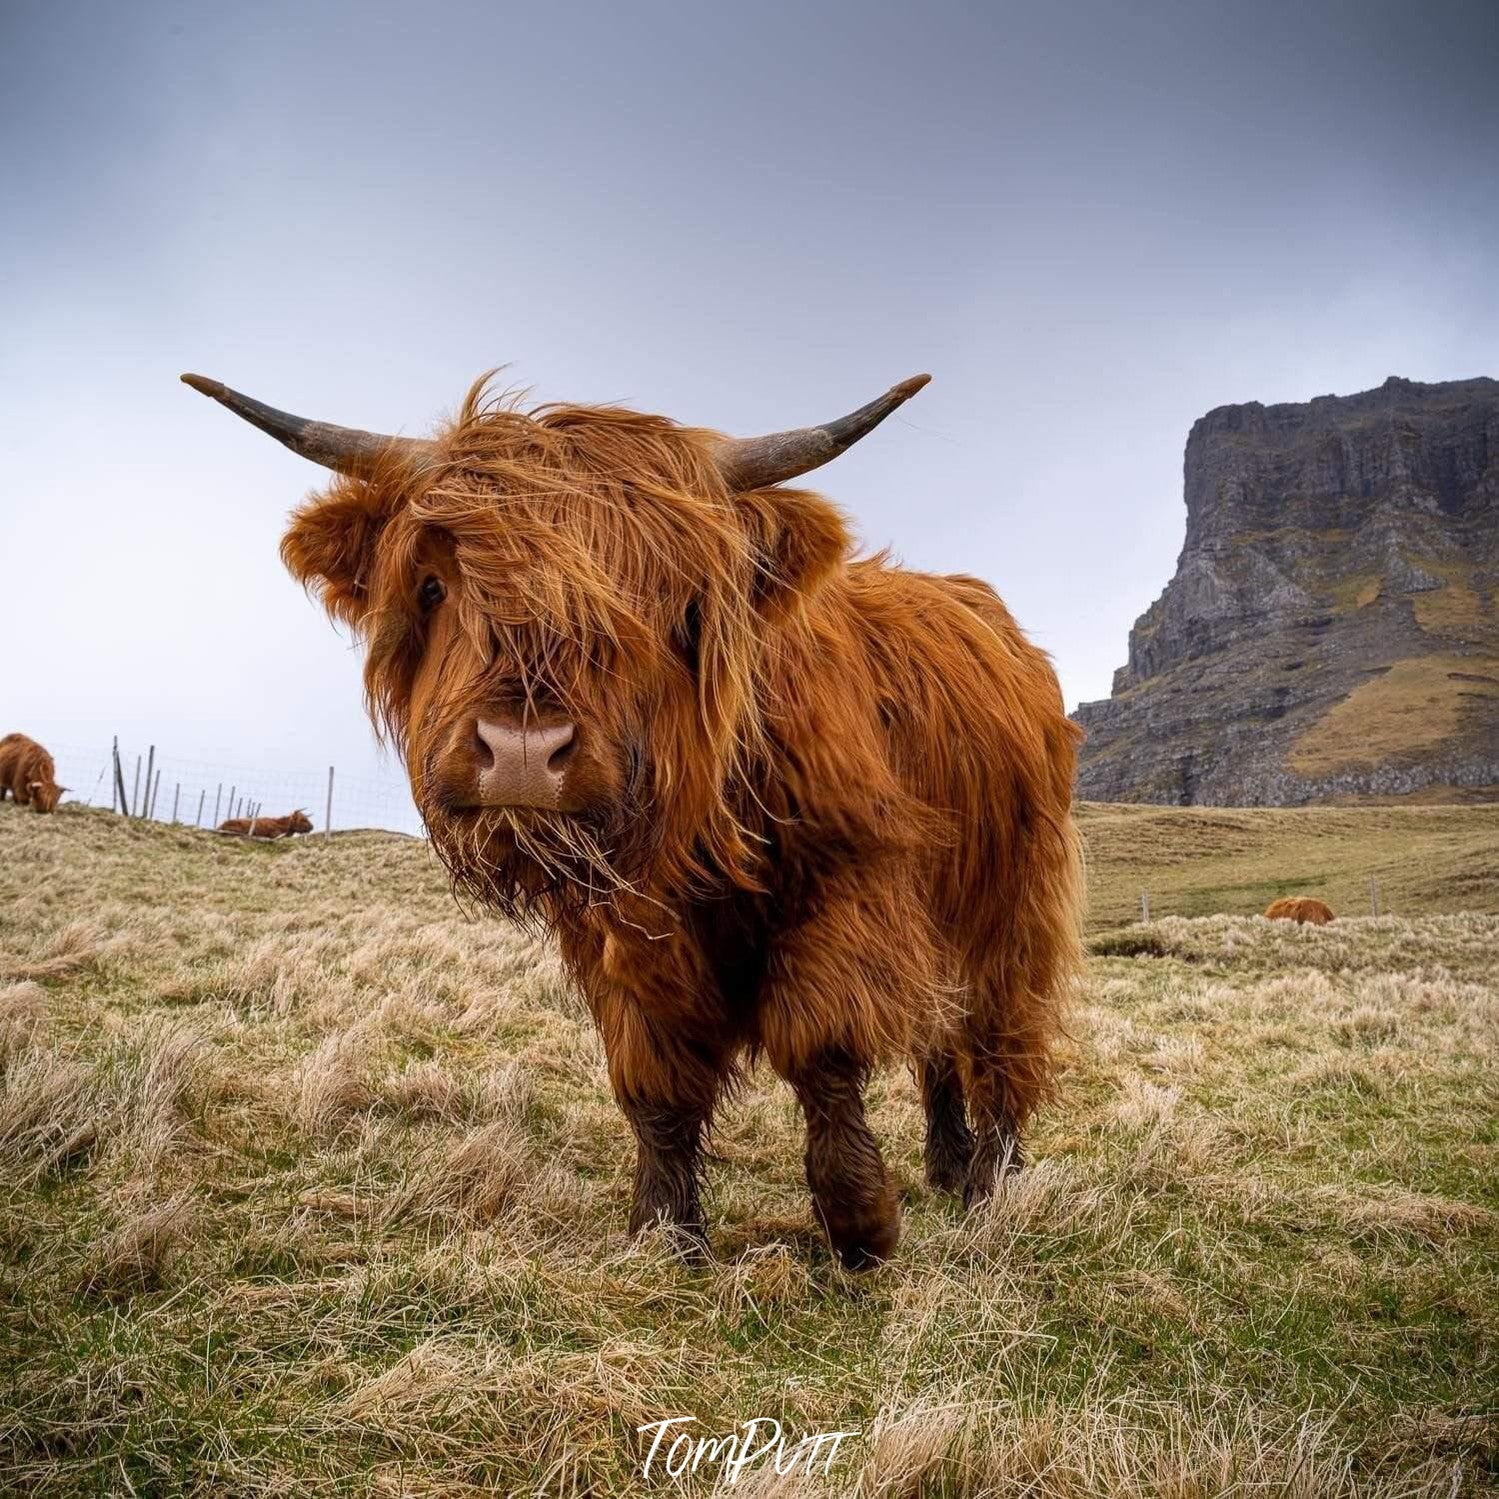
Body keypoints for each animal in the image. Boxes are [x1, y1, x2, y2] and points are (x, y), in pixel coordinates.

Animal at [187, 362, 1085, 1265]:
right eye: (434, 586)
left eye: (662, 599)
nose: (522, 751)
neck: (693, 836)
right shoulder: (622, 934)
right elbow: (654, 1078)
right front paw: (664, 1231)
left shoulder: (850, 885)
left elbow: (820, 1047)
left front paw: (859, 1220)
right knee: (941, 1037)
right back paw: (948, 1163)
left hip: (1011, 899)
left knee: (993, 1033)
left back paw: (992, 1180)